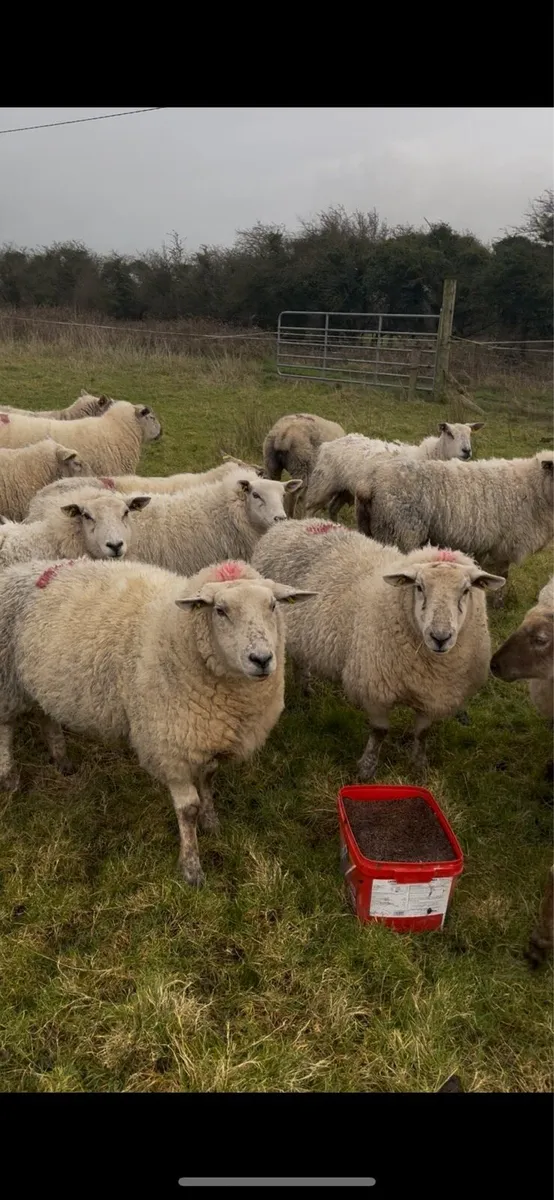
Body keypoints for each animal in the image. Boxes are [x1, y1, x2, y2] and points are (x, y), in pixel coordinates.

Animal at [0, 556, 314, 885]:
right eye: (220, 610)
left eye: (273, 605)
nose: (261, 659)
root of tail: (19, 568)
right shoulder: (169, 746)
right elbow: (188, 810)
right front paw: (191, 867)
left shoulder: (204, 737)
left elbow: (208, 780)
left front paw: (212, 822)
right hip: (7, 679)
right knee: (6, 727)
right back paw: (9, 778)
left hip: (39, 682)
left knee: (46, 715)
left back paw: (61, 760)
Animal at [252, 519, 504, 779]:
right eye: (419, 587)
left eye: (466, 590)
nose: (440, 637)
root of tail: (293, 522)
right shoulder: (374, 687)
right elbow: (379, 732)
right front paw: (367, 768)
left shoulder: (433, 694)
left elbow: (422, 733)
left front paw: (419, 765)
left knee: (301, 659)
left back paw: (305, 690)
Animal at [305, 422, 485, 520]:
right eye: (449, 433)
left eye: (470, 434)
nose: (466, 451)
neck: (430, 455)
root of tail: (329, 444)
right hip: (323, 484)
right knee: (309, 509)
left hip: (345, 490)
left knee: (333, 508)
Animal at [355, 451, 554, 605]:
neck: (534, 488)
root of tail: (371, 482)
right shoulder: (504, 547)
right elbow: (503, 577)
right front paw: (498, 604)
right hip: (401, 532)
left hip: (372, 529)